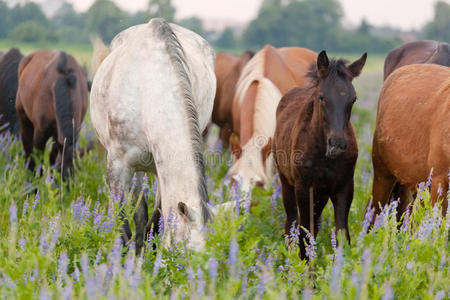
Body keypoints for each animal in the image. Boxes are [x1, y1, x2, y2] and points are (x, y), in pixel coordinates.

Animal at [15, 50, 89, 179]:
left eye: (72, 174)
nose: (65, 185)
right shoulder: (40, 133)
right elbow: (37, 156)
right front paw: (36, 182)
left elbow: (51, 158)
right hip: (24, 118)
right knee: (28, 149)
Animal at [272, 50, 368, 258]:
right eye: (322, 97)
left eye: (353, 99)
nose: (337, 144)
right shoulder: (303, 188)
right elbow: (303, 234)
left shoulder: (344, 187)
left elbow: (342, 235)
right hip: (287, 183)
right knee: (291, 224)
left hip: (321, 194)